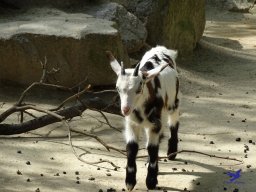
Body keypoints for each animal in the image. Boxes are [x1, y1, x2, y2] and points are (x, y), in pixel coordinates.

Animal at [107, 46, 181, 190]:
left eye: (138, 89)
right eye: (117, 88)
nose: (125, 109)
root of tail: (163, 49)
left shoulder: (156, 124)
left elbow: (152, 148)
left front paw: (151, 181)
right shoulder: (132, 123)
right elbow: (132, 148)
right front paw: (130, 182)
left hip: (173, 102)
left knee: (174, 124)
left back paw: (172, 152)